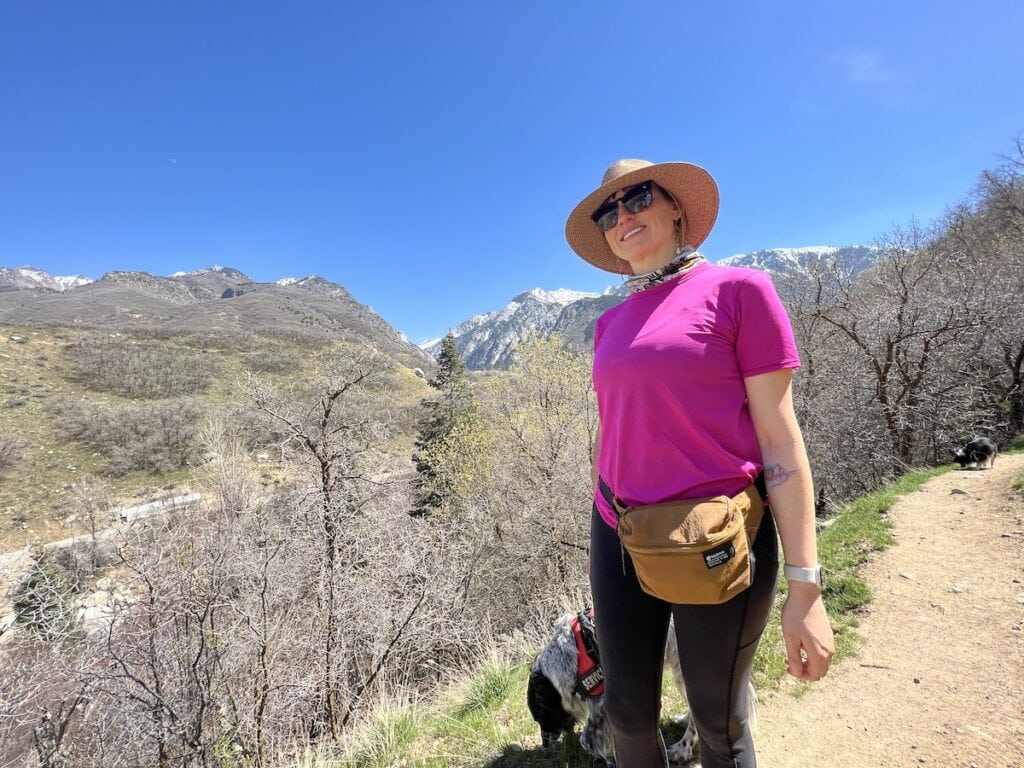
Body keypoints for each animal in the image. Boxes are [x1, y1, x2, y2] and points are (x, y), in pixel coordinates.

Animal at [524, 610, 757, 765]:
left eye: (540, 718)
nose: (544, 744)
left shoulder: (601, 705)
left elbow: (588, 740)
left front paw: (606, 757)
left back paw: (681, 750)